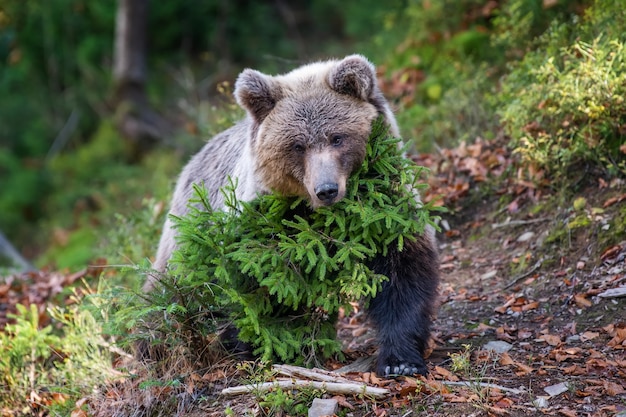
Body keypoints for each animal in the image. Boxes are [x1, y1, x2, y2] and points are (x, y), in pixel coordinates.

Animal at [147, 55, 438, 376]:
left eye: (337, 138)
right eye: (298, 145)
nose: (326, 190)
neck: (322, 218)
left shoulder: (386, 212)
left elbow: (402, 273)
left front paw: (400, 362)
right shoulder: (259, 229)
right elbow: (257, 290)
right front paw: (265, 344)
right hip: (190, 230)